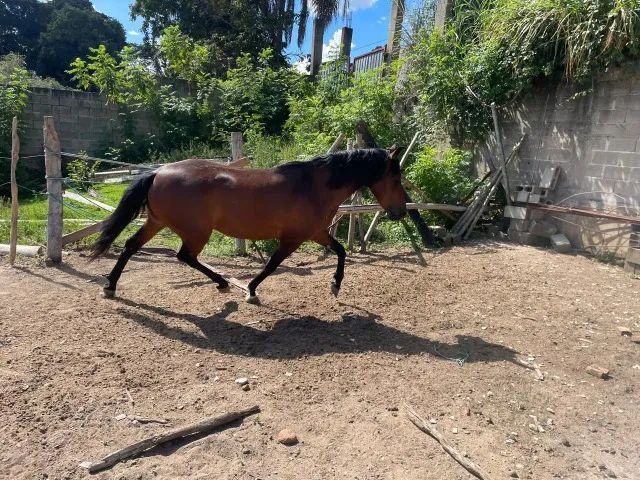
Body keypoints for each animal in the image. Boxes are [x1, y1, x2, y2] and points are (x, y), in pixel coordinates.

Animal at [91, 147, 408, 304]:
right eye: (395, 176)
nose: (401, 210)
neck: (313, 186)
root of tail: (158, 172)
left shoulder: (315, 232)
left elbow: (341, 250)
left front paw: (335, 286)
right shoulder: (293, 237)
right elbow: (271, 265)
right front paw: (251, 291)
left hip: (157, 222)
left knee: (131, 246)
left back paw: (110, 286)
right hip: (196, 232)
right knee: (184, 256)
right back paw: (222, 283)